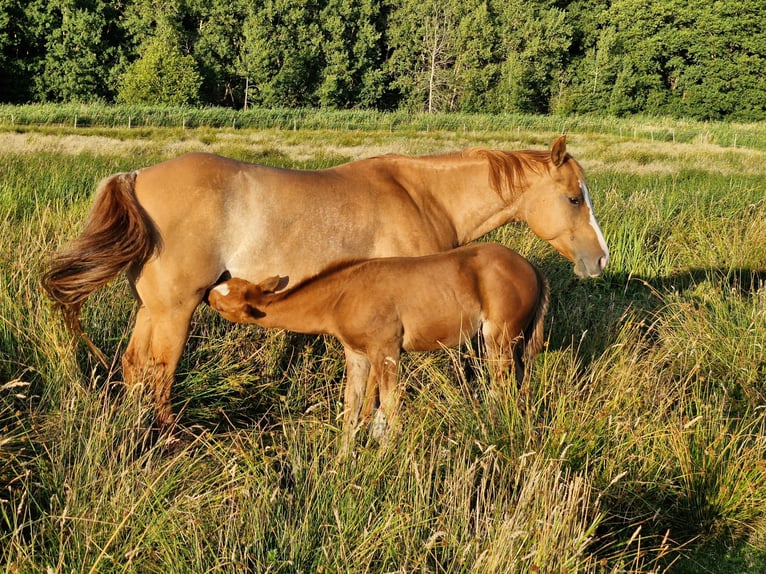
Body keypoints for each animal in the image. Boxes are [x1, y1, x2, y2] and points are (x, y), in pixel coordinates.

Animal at [207, 243, 549, 446]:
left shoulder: (387, 352)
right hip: (514, 343)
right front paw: (343, 463)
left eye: (224, 304)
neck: (342, 296)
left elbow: (389, 407)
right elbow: (352, 406)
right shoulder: (357, 354)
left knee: (500, 387)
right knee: (519, 384)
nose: (209, 292)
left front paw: (385, 459)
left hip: (499, 337)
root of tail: (533, 269)